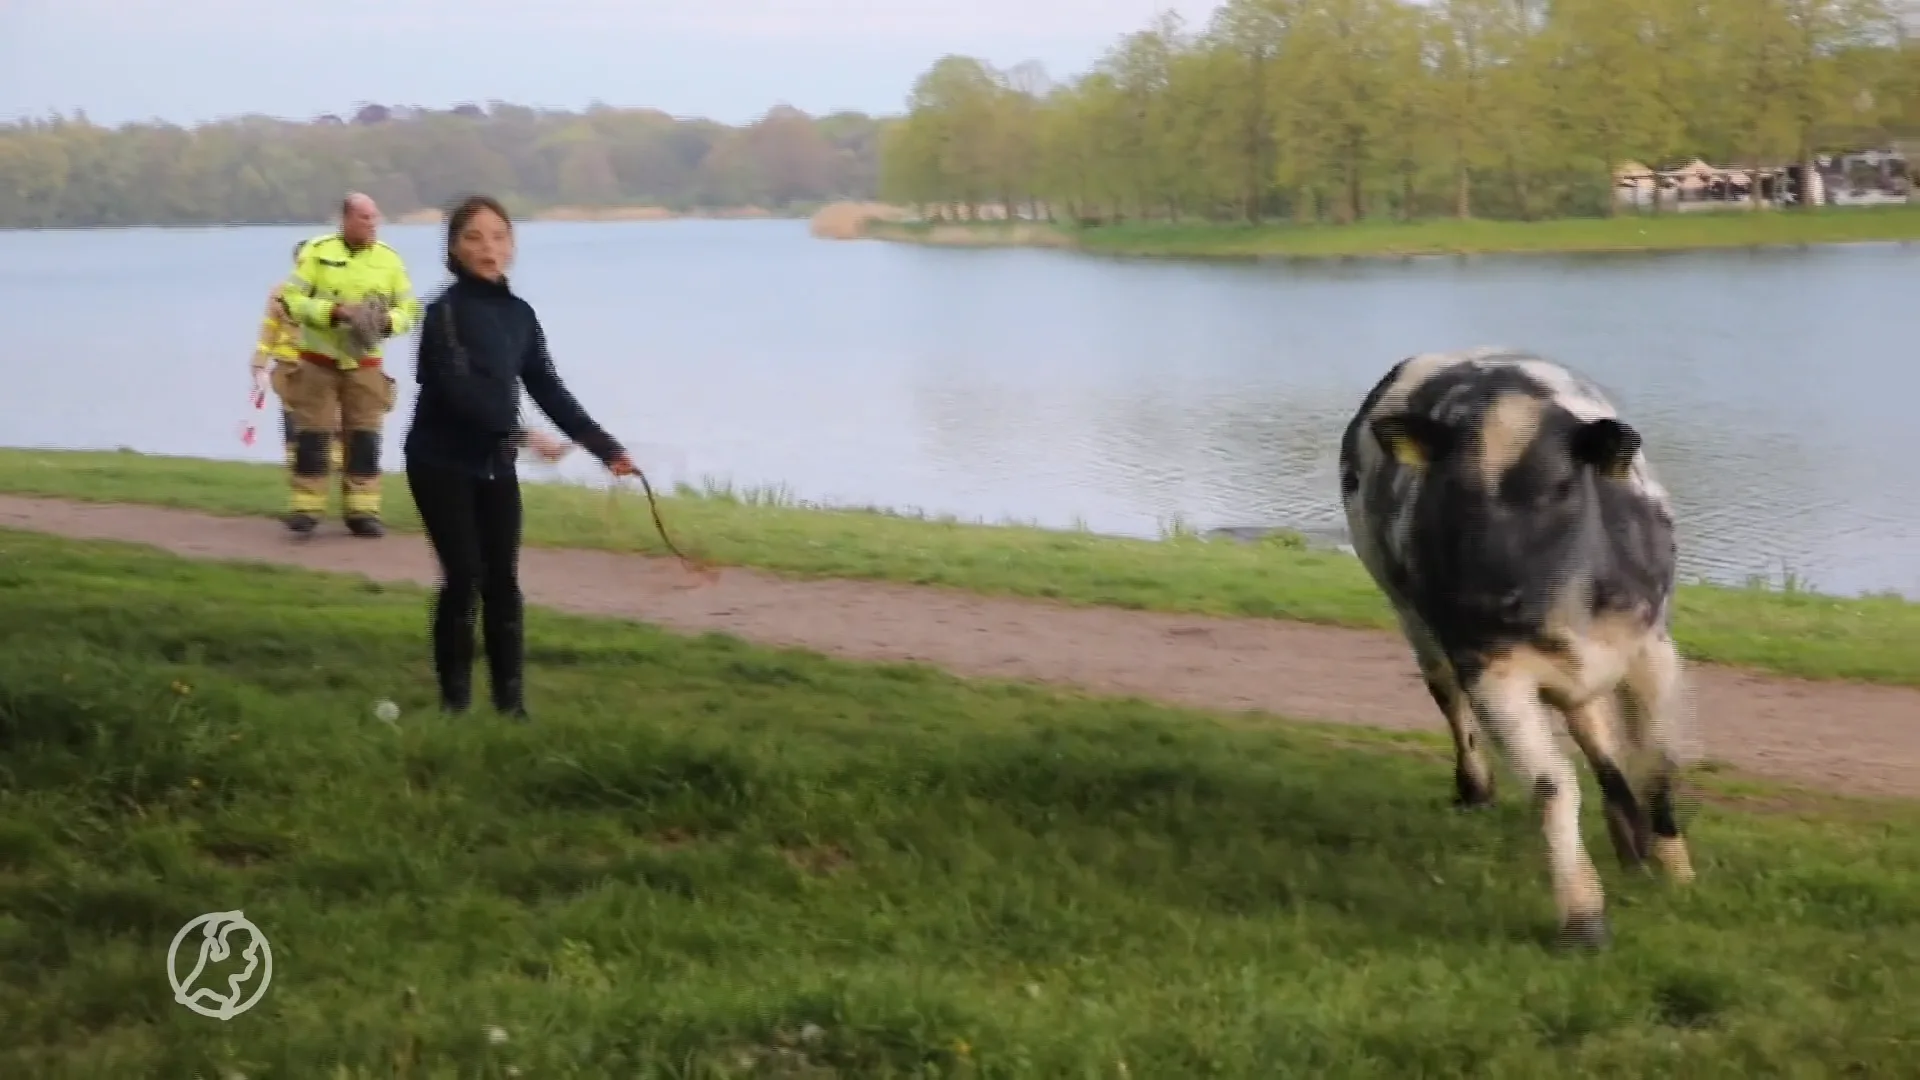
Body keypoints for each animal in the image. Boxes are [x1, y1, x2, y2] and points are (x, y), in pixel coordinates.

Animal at [1337, 347, 1697, 950]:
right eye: (1449, 492)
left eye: (1560, 488)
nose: (1478, 600)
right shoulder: (1490, 668)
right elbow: (1552, 786)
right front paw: (1583, 919)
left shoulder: (1651, 652)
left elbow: (1656, 761)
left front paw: (1676, 872)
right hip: (1413, 619)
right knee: (1450, 699)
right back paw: (1477, 789)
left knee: (1592, 728)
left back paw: (1631, 839)